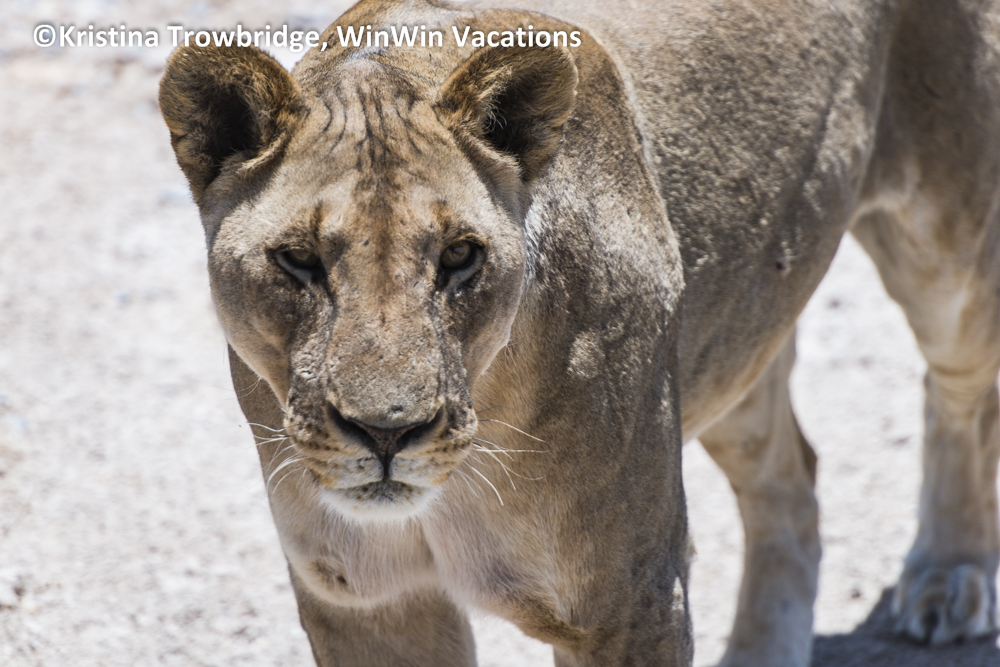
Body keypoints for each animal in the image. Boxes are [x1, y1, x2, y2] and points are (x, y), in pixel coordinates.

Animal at [158, 0, 1000, 664]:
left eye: (459, 256)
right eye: (298, 259)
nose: (387, 432)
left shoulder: (630, 602)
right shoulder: (367, 602)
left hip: (947, 256)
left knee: (959, 392)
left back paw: (950, 571)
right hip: (731, 342)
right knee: (791, 481)